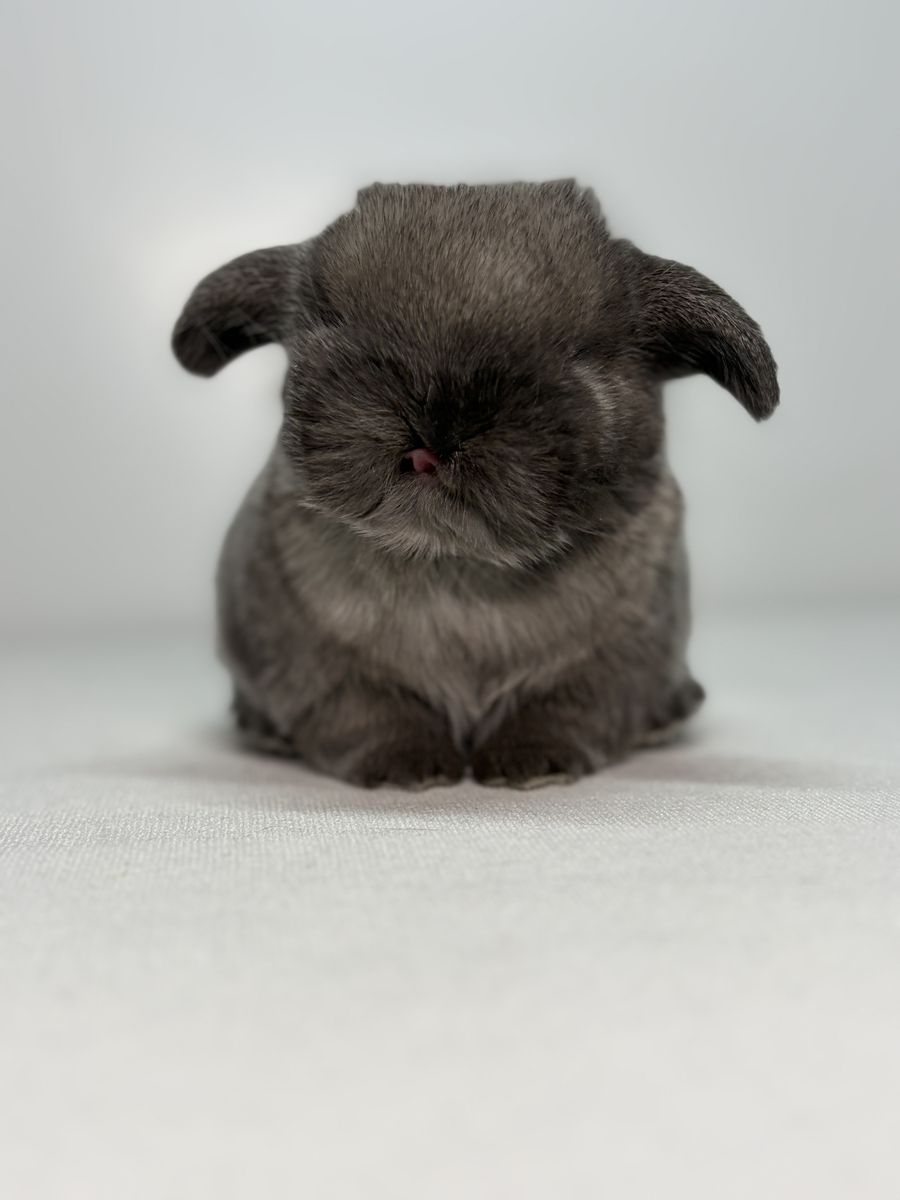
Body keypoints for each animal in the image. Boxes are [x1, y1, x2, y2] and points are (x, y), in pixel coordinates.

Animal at [172, 179, 778, 789]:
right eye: (330, 325)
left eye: (580, 354)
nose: (434, 427)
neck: (458, 569)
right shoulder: (321, 668)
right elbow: (370, 713)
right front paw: (407, 766)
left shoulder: (609, 666)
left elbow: (562, 710)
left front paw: (531, 764)